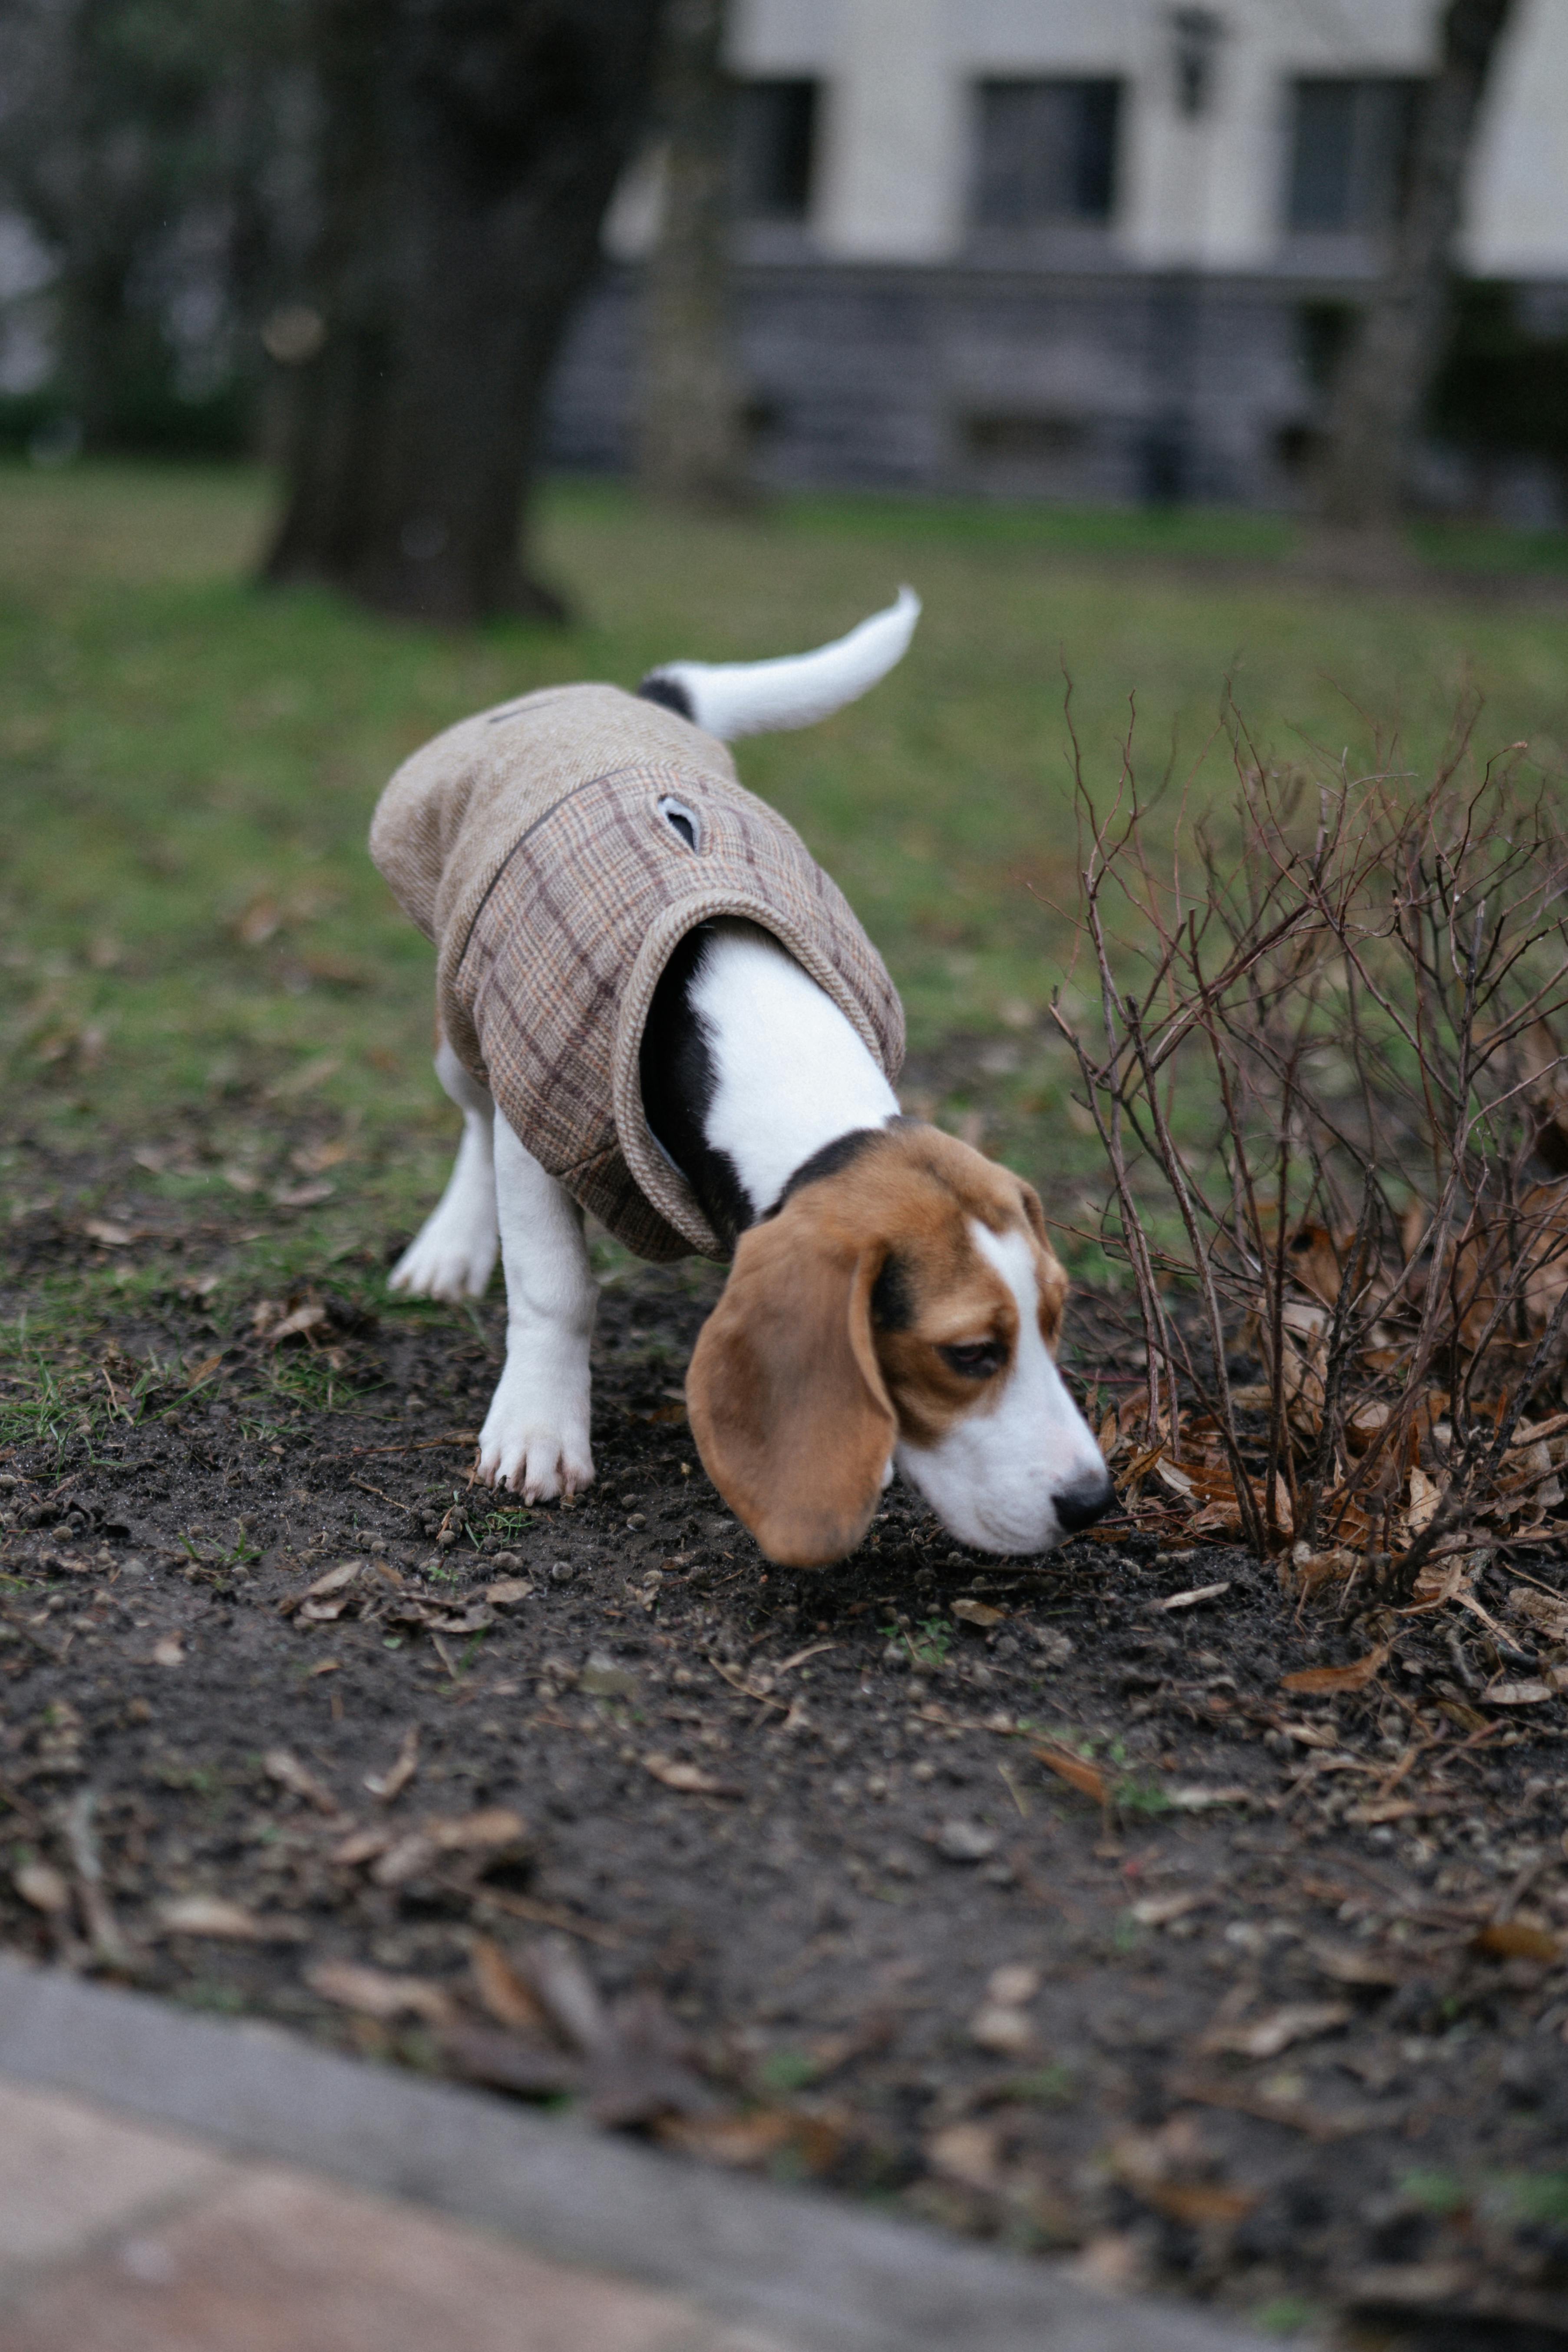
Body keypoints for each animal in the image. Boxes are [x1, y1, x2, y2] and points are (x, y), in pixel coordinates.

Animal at [373, 597, 1109, 1571]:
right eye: (967, 1354)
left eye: (1056, 1317)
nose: (1093, 1502)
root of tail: (634, 698)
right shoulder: (544, 1126)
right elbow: (553, 1289)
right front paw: (539, 1429)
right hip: (465, 1026)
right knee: (474, 1119)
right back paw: (450, 1249)